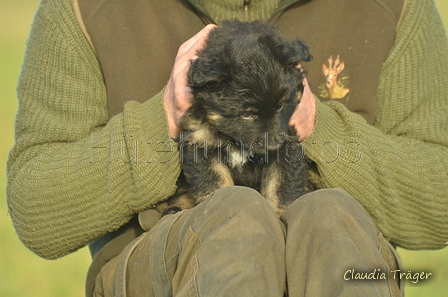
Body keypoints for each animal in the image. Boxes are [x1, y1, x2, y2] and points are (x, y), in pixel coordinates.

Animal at [167, 20, 312, 215]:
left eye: (281, 105)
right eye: (247, 114)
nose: (273, 145)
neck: (235, 141)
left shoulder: (288, 147)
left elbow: (280, 187)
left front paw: (280, 214)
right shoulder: (200, 142)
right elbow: (216, 184)